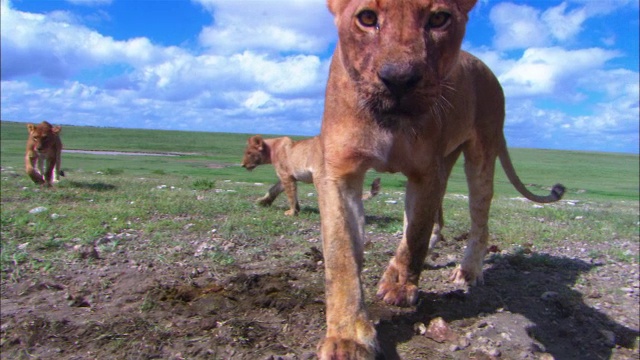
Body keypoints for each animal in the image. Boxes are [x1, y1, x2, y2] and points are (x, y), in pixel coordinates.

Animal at [240, 134, 380, 214]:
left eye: (248, 153)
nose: (242, 165)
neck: (272, 149)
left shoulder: (286, 176)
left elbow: (290, 195)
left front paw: (292, 212)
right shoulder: (288, 177)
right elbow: (273, 189)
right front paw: (263, 202)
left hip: (320, 177)